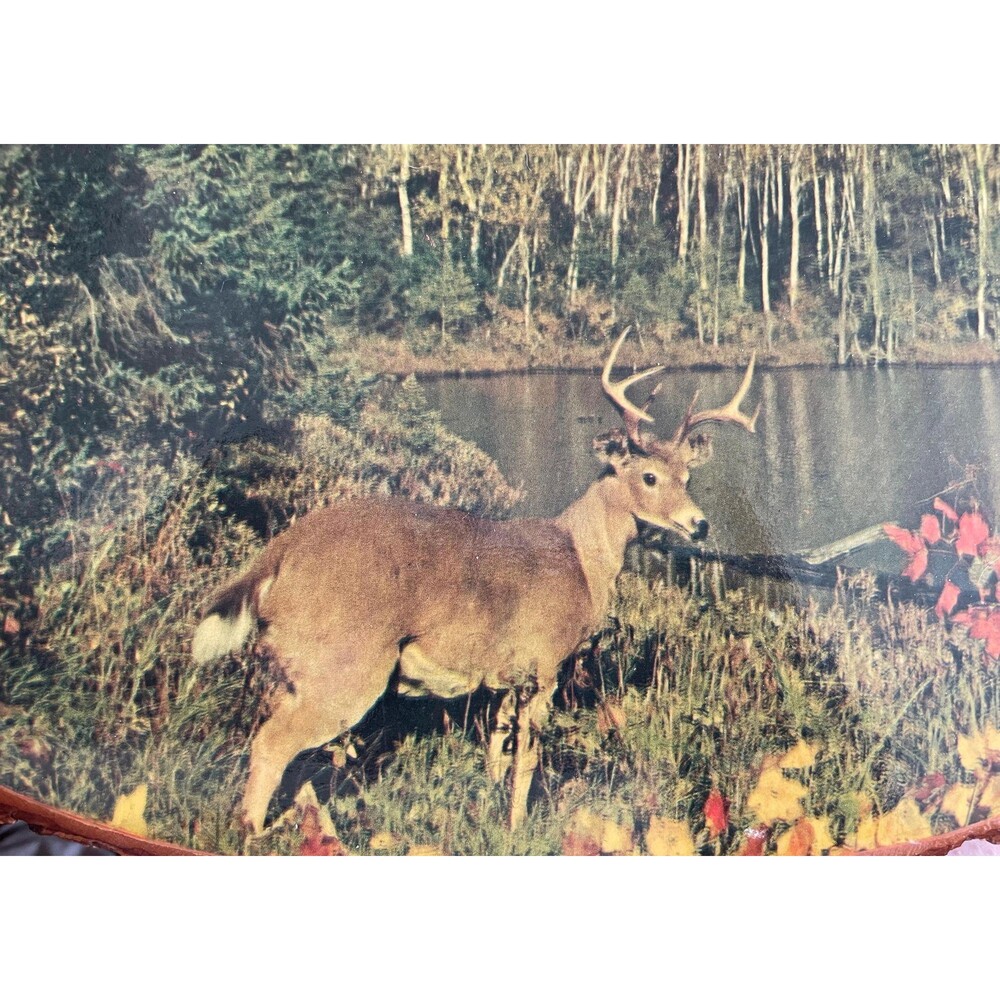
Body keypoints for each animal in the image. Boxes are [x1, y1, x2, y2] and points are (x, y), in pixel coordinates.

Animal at [191, 329, 760, 837]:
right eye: (648, 477)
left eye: (687, 476)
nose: (699, 525)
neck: (580, 560)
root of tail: (278, 555)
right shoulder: (543, 662)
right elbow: (526, 758)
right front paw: (517, 829)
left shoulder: (503, 676)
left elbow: (496, 750)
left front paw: (489, 811)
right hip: (344, 663)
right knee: (272, 745)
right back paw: (253, 834)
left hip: (292, 665)